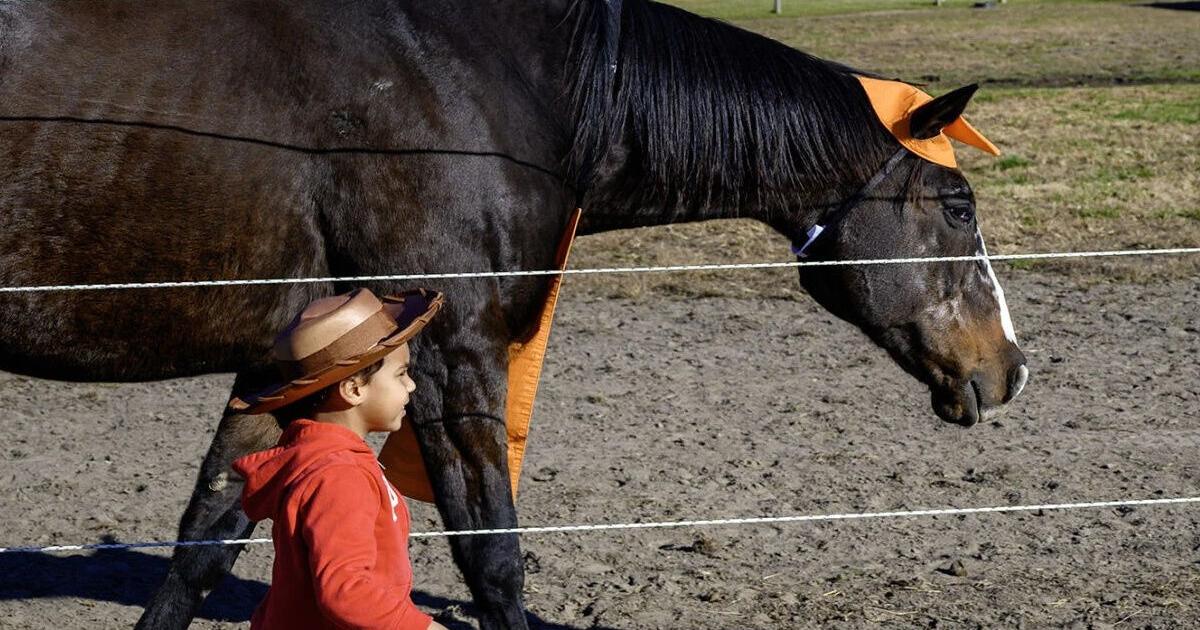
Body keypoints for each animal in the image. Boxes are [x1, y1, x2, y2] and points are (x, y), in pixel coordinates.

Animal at [0, 0, 1028, 627]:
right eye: (959, 207)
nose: (1011, 366)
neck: (504, 83)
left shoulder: (287, 357)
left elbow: (203, 545)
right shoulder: (450, 352)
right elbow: (493, 554)